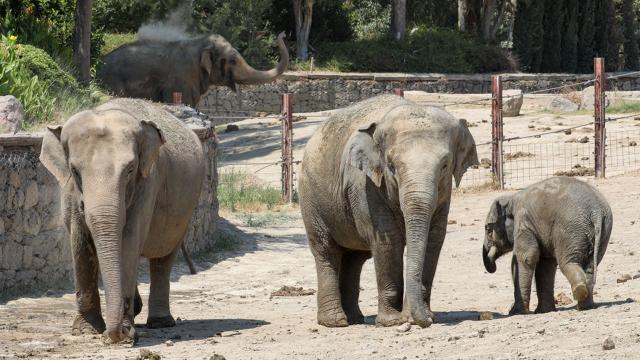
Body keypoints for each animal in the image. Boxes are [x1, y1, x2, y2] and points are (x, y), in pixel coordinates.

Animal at [39, 97, 205, 344]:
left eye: (130, 169)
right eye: (74, 170)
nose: (118, 335)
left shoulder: (147, 184)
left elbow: (129, 240)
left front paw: (125, 332)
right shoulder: (69, 190)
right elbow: (80, 241)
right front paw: (86, 330)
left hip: (186, 207)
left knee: (164, 257)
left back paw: (160, 322)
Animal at [298, 94, 478, 328]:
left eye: (445, 165)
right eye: (391, 166)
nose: (425, 320)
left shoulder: (444, 195)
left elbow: (434, 238)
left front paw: (419, 316)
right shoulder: (365, 185)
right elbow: (388, 241)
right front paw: (392, 321)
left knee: (354, 258)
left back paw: (355, 319)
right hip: (311, 199)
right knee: (326, 251)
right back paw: (336, 322)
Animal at [482, 177, 612, 316]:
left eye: (488, 229)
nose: (492, 266)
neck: (511, 198)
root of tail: (596, 211)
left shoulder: (524, 222)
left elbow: (526, 258)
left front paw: (516, 312)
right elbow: (545, 264)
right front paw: (543, 311)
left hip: (569, 229)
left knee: (566, 263)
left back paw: (579, 291)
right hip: (602, 231)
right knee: (590, 266)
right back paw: (585, 306)